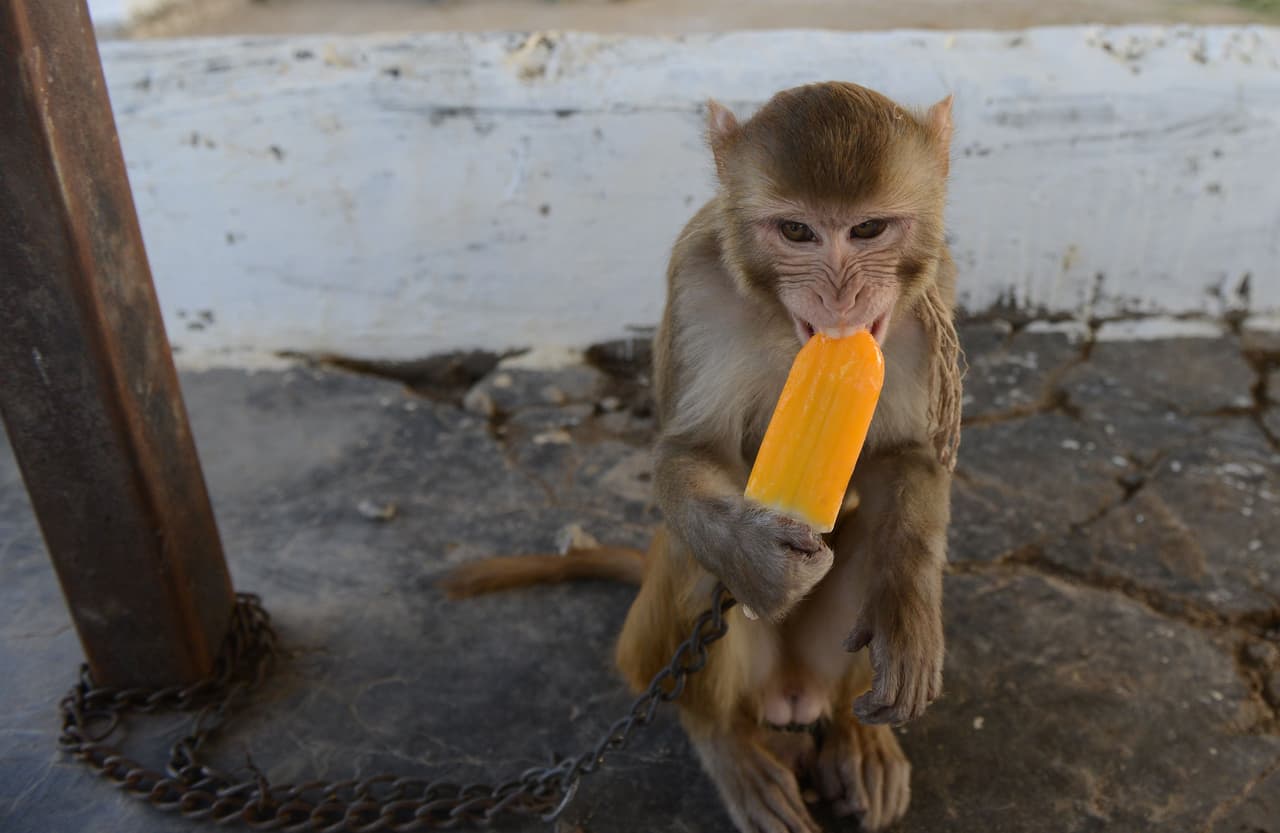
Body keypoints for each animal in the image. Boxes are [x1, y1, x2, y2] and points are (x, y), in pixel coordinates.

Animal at [441, 81, 962, 833]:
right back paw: (729, 744)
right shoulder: (694, 280)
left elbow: (906, 457)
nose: (839, 295)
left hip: (817, 664)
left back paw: (853, 732)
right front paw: (757, 558)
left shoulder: (933, 292)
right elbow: (690, 451)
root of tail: (790, 693)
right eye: (797, 232)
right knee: (692, 564)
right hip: (681, 653)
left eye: (868, 231)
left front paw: (906, 617)